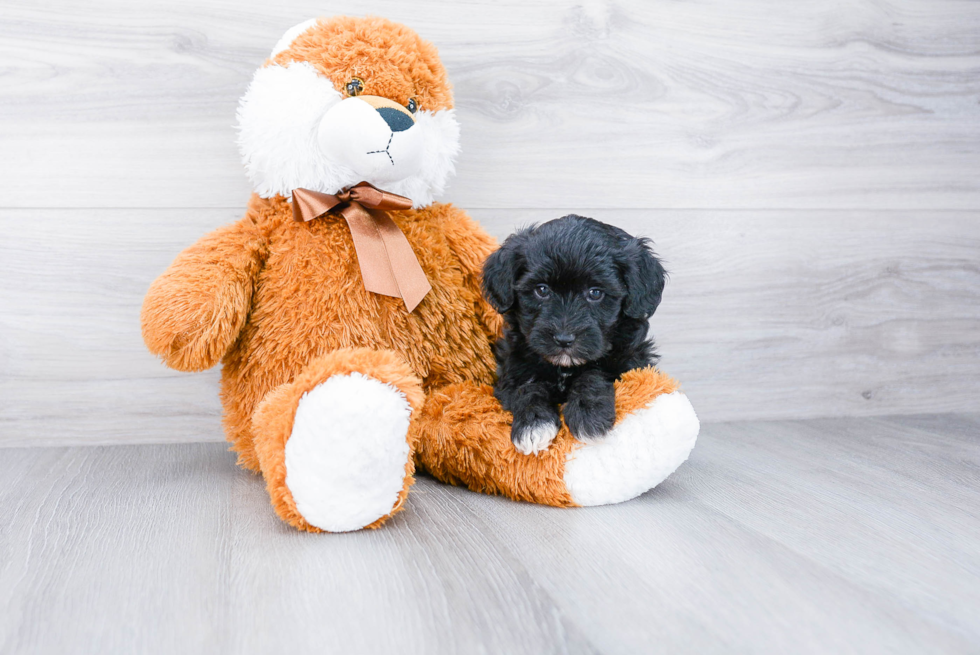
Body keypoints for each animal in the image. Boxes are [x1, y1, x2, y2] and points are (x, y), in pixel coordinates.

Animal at [482, 215, 668, 456]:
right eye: (542, 290)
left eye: (595, 293)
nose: (563, 339)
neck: (564, 368)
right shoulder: (513, 368)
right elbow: (527, 388)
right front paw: (533, 425)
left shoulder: (632, 362)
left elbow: (594, 373)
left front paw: (588, 415)